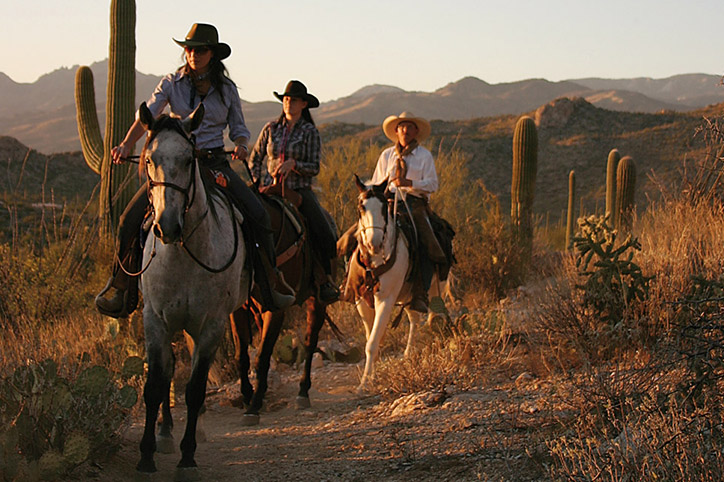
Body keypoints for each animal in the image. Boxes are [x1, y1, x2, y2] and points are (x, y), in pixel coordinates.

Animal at [134, 102, 250, 478]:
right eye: (149, 159)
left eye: (189, 159)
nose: (167, 226)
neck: (183, 253)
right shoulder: (155, 320)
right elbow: (155, 384)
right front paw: (147, 453)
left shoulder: (211, 324)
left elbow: (196, 389)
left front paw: (187, 457)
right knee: (170, 370)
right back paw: (166, 431)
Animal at [229, 192, 336, 426]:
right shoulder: (239, 310)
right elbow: (242, 355)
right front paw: (248, 395)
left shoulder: (276, 310)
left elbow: (262, 357)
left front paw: (254, 406)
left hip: (317, 301)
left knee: (310, 342)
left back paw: (303, 392)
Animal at [350, 175, 446, 394]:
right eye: (361, 207)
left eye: (384, 207)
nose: (374, 243)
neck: (374, 262)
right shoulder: (362, 302)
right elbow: (372, 338)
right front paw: (370, 377)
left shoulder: (385, 299)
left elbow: (372, 342)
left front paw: (364, 383)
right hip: (409, 295)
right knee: (414, 318)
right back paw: (409, 354)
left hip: (435, 287)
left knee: (433, 315)